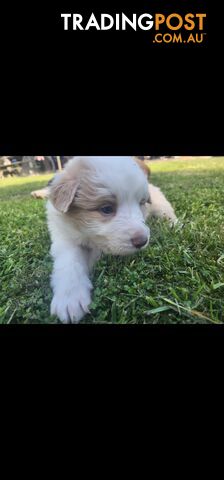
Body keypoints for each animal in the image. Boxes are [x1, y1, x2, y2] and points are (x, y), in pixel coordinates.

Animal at [47, 157, 177, 322]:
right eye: (107, 209)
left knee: (168, 213)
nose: (142, 241)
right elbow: (70, 261)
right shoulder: (64, 237)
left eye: (141, 203)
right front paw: (70, 298)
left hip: (160, 203)